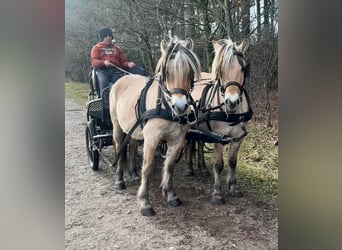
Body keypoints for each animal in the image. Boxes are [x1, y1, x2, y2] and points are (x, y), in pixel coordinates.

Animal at [109, 36, 200, 216]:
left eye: (189, 72)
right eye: (167, 72)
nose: (180, 107)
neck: (166, 106)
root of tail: (120, 79)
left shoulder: (177, 140)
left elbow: (170, 165)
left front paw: (170, 194)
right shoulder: (152, 139)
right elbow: (148, 167)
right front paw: (144, 202)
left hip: (134, 129)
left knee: (131, 148)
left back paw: (133, 175)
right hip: (117, 127)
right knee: (119, 149)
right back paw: (119, 180)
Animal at [187, 38, 251, 204]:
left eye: (244, 68)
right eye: (220, 71)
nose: (232, 102)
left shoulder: (238, 138)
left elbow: (232, 163)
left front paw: (233, 187)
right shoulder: (218, 138)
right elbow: (218, 165)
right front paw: (217, 193)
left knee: (199, 142)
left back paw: (202, 168)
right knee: (189, 143)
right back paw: (189, 168)